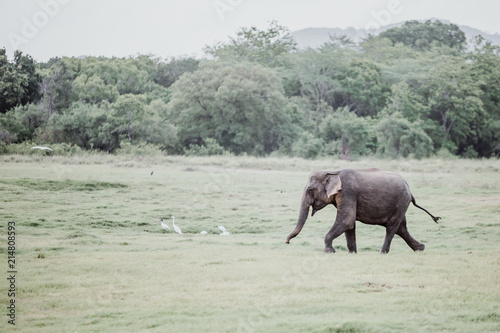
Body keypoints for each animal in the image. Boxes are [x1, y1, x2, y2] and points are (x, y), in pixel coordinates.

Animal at [286, 167, 442, 253]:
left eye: (310, 190)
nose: (287, 242)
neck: (332, 172)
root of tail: (410, 191)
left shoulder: (348, 192)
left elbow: (347, 220)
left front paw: (329, 251)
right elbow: (350, 225)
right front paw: (352, 253)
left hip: (401, 201)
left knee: (392, 227)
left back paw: (383, 252)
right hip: (400, 204)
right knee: (401, 228)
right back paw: (421, 248)